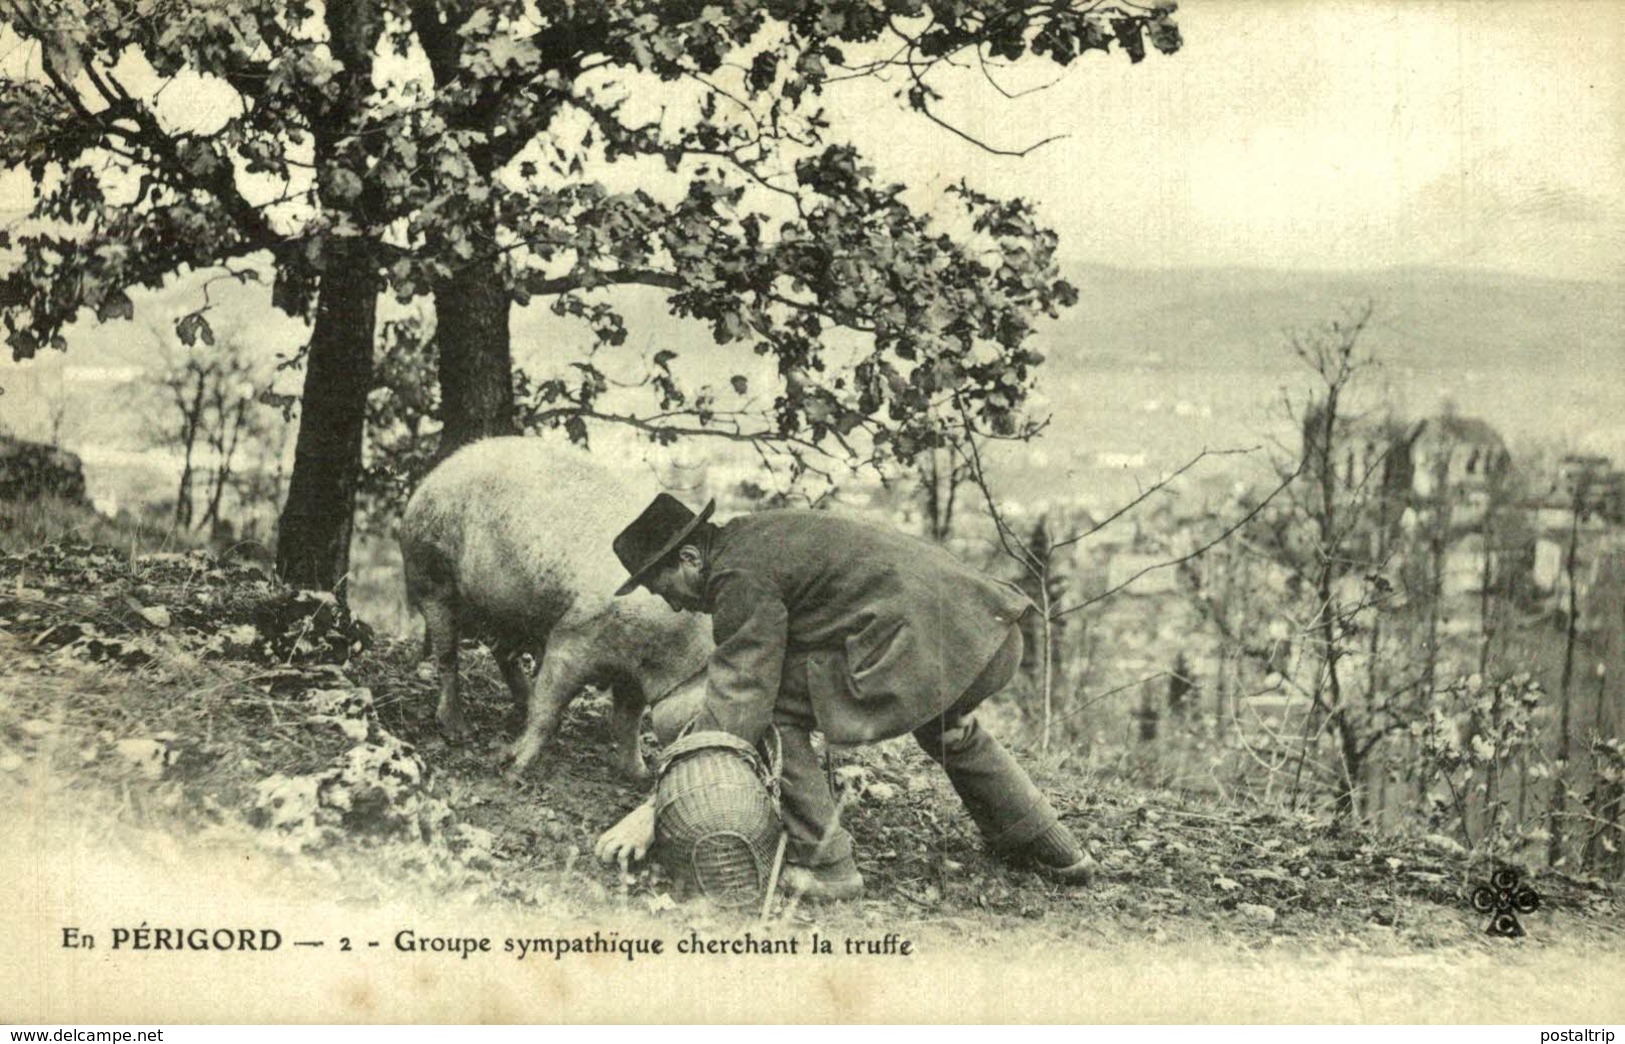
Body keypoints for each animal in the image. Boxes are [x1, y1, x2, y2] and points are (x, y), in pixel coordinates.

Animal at [396, 435, 708, 777]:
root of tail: (433, 476)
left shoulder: (632, 674)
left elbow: (627, 721)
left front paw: (639, 775)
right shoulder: (576, 634)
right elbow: (550, 704)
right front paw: (514, 769)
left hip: (508, 608)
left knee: (502, 654)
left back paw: (520, 707)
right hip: (430, 575)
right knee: (447, 654)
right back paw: (458, 731)